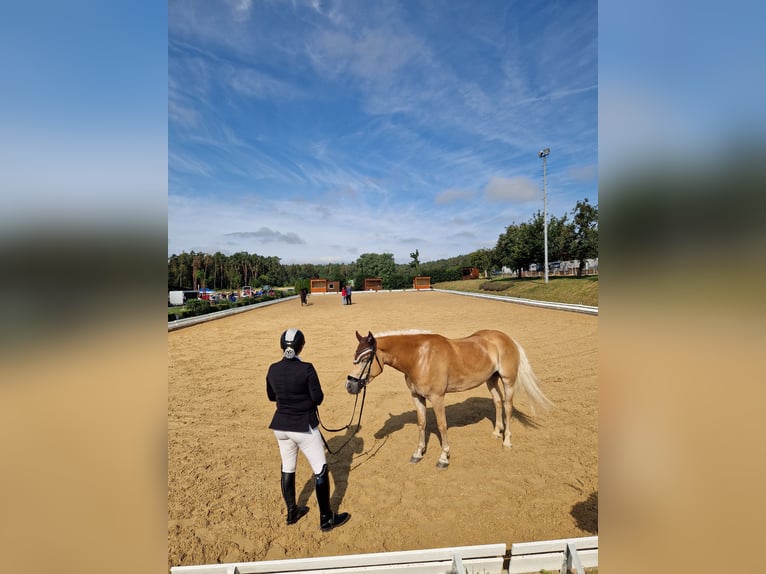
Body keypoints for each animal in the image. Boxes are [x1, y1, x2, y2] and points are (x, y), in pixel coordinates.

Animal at [346, 330, 552, 470]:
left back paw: (506, 441)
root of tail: (507, 339)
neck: (419, 358)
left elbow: (441, 425)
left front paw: (444, 457)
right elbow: (422, 423)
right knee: (498, 402)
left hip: (508, 381)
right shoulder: (417, 397)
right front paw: (418, 453)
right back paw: (496, 432)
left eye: (364, 359)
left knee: (508, 407)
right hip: (491, 380)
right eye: (354, 358)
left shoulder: (437, 397)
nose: (350, 386)